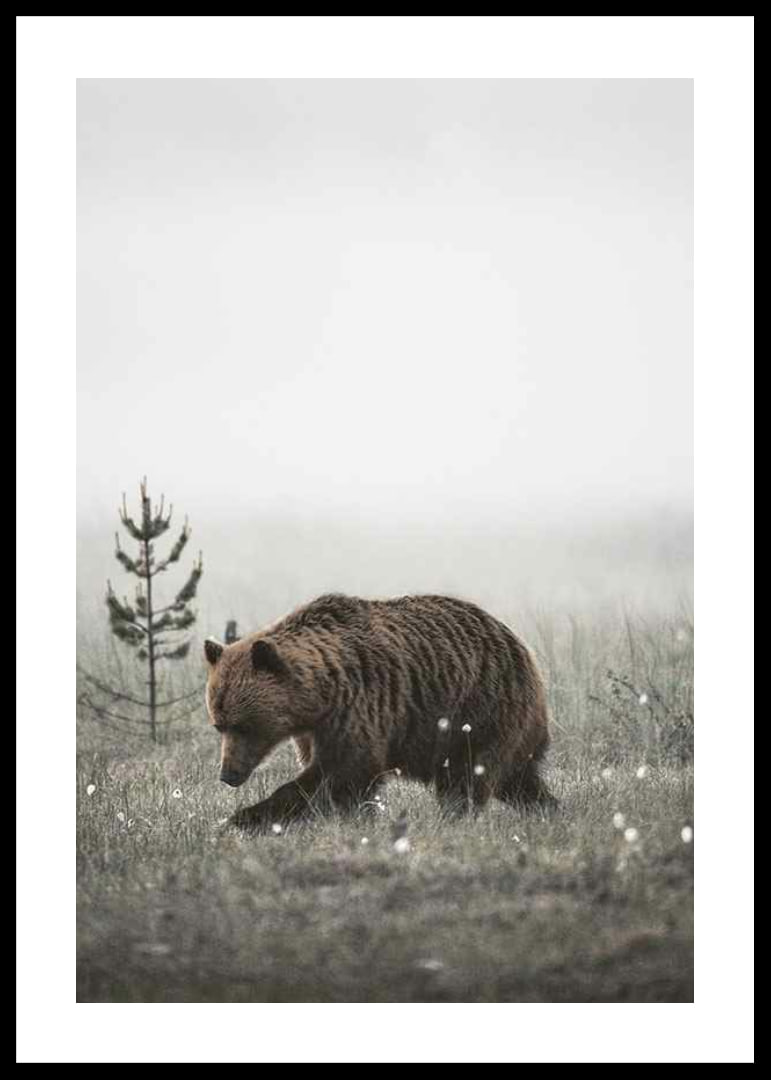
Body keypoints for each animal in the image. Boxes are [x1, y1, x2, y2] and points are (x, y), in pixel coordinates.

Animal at [203, 592, 555, 831]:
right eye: (219, 725)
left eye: (245, 725)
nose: (228, 774)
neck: (318, 697)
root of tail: (523, 648)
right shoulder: (312, 730)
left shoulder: (357, 708)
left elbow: (343, 772)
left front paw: (244, 817)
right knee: (518, 780)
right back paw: (550, 809)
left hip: (480, 712)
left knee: (468, 776)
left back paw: (454, 819)